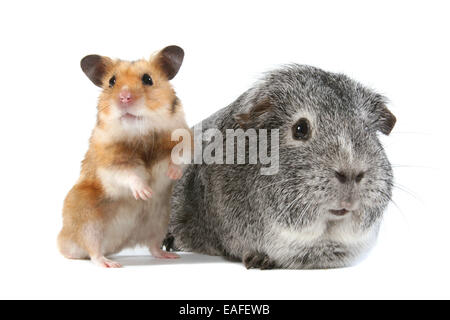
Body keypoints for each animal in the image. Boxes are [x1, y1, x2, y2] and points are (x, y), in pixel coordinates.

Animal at [57, 44, 189, 264]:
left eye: (148, 79)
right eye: (112, 81)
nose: (124, 98)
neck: (140, 133)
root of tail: (119, 243)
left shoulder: (184, 137)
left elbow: (179, 156)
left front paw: (172, 174)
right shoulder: (110, 162)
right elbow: (127, 174)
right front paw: (145, 192)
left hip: (158, 222)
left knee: (153, 246)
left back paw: (169, 255)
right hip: (89, 223)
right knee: (93, 251)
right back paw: (110, 263)